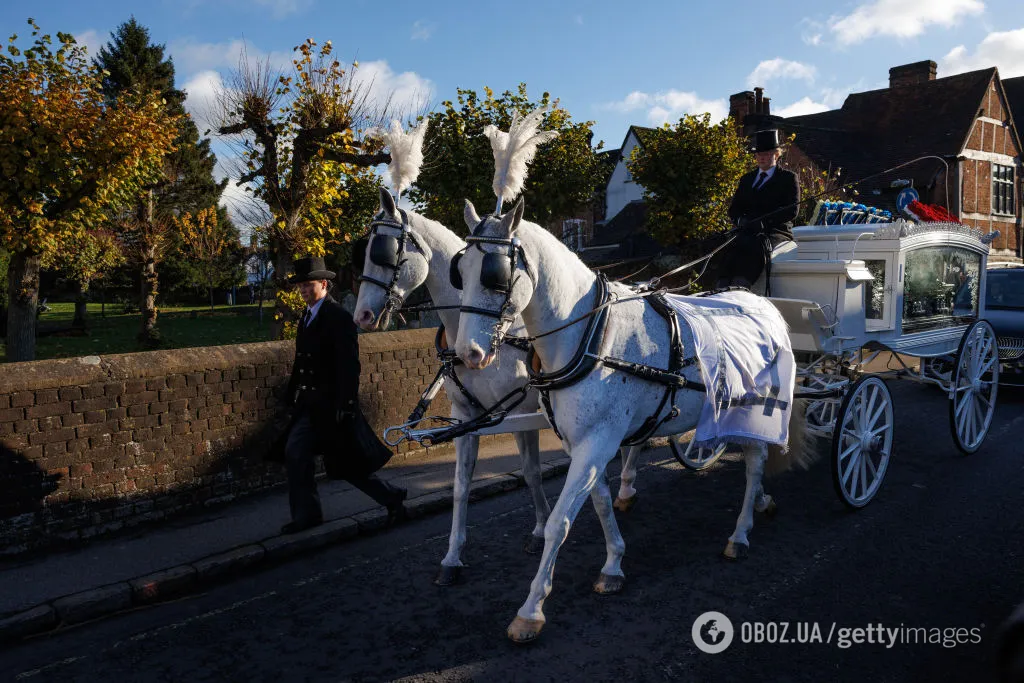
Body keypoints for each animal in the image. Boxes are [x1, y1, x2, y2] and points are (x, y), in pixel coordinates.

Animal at [352, 189, 638, 585]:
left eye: (382, 250)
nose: (361, 315)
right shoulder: (465, 416)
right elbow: (460, 486)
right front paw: (453, 556)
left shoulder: (519, 411)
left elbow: (532, 472)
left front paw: (539, 530)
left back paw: (625, 487)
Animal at [456, 196, 815, 643]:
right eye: (461, 271)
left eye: (495, 276)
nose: (466, 354)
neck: (592, 335)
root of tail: (766, 306)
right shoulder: (585, 444)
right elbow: (600, 504)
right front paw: (613, 564)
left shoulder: (597, 442)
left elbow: (559, 523)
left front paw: (531, 609)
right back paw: (762, 502)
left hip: (755, 408)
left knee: (754, 464)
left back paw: (741, 531)